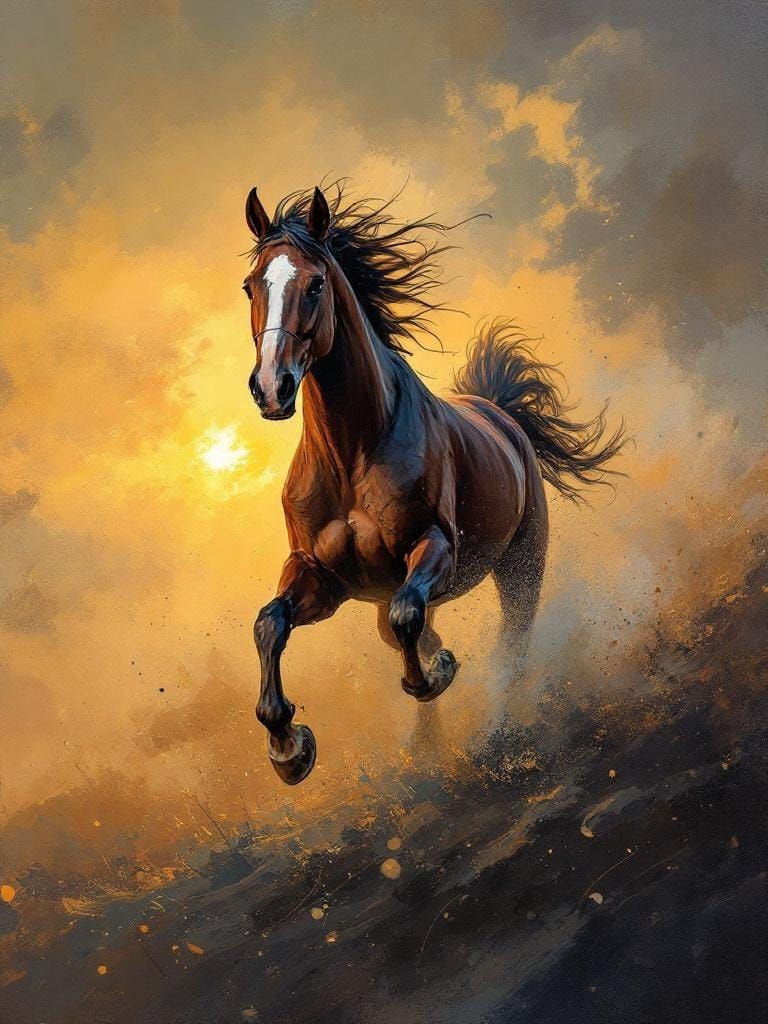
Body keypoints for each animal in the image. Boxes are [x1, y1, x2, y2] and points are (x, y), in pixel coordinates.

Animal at [242, 184, 624, 785]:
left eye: (316, 283)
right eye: (250, 285)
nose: (271, 387)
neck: (352, 454)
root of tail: (500, 413)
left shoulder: (435, 548)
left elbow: (408, 618)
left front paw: (436, 673)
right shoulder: (322, 577)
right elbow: (270, 624)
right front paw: (289, 748)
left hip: (521, 568)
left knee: (511, 647)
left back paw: (498, 733)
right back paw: (425, 748)